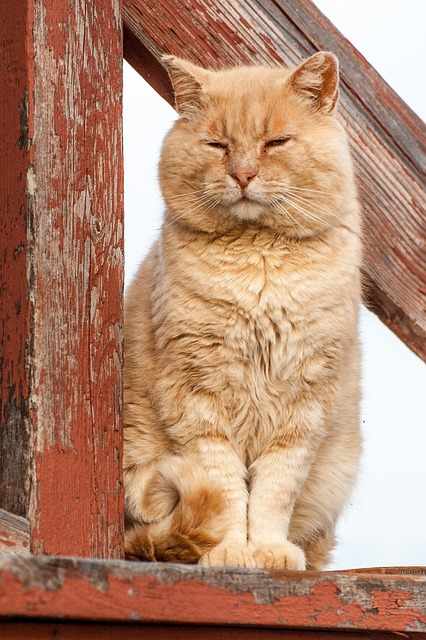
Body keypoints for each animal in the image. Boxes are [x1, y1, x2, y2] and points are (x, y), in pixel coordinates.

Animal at [124, 51, 362, 568]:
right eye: (217, 145)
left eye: (275, 142)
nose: (243, 174)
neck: (260, 264)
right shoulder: (195, 397)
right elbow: (224, 486)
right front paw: (231, 549)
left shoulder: (305, 404)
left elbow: (275, 489)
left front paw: (269, 550)